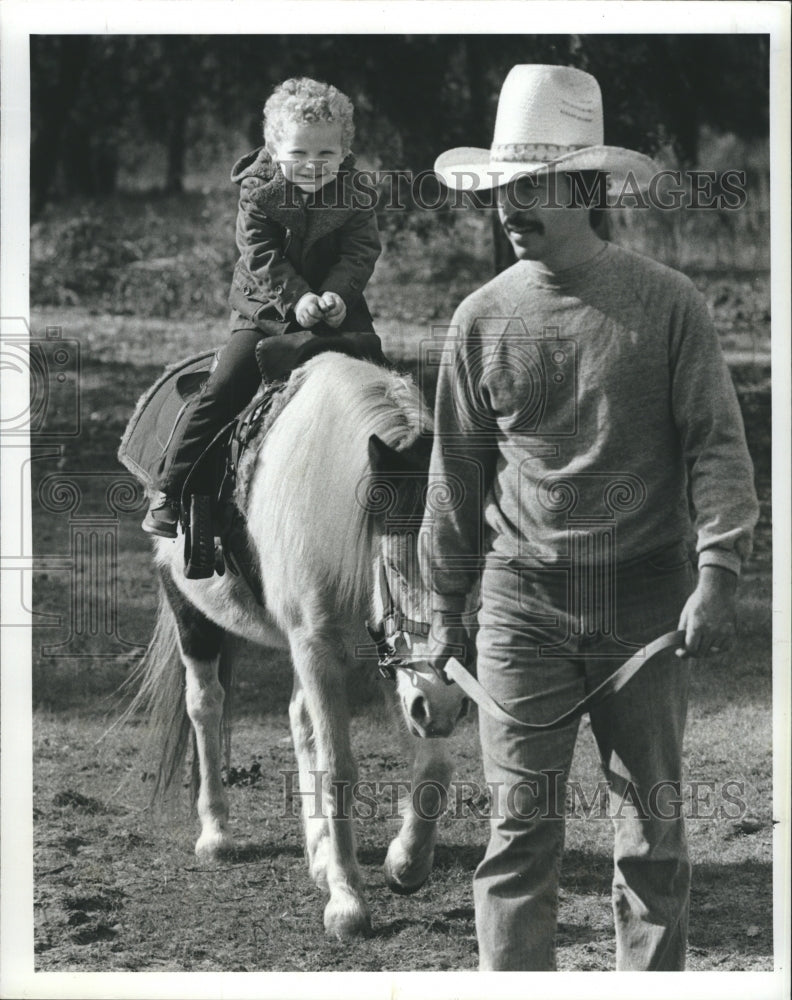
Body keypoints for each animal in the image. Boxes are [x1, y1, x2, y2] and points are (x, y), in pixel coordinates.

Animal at [127, 352, 468, 936]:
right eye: (397, 564)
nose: (444, 703)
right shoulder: (317, 646)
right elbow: (339, 769)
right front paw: (348, 903)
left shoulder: (385, 659)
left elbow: (433, 768)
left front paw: (404, 863)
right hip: (190, 611)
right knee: (205, 706)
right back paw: (216, 834)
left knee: (298, 721)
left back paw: (319, 853)